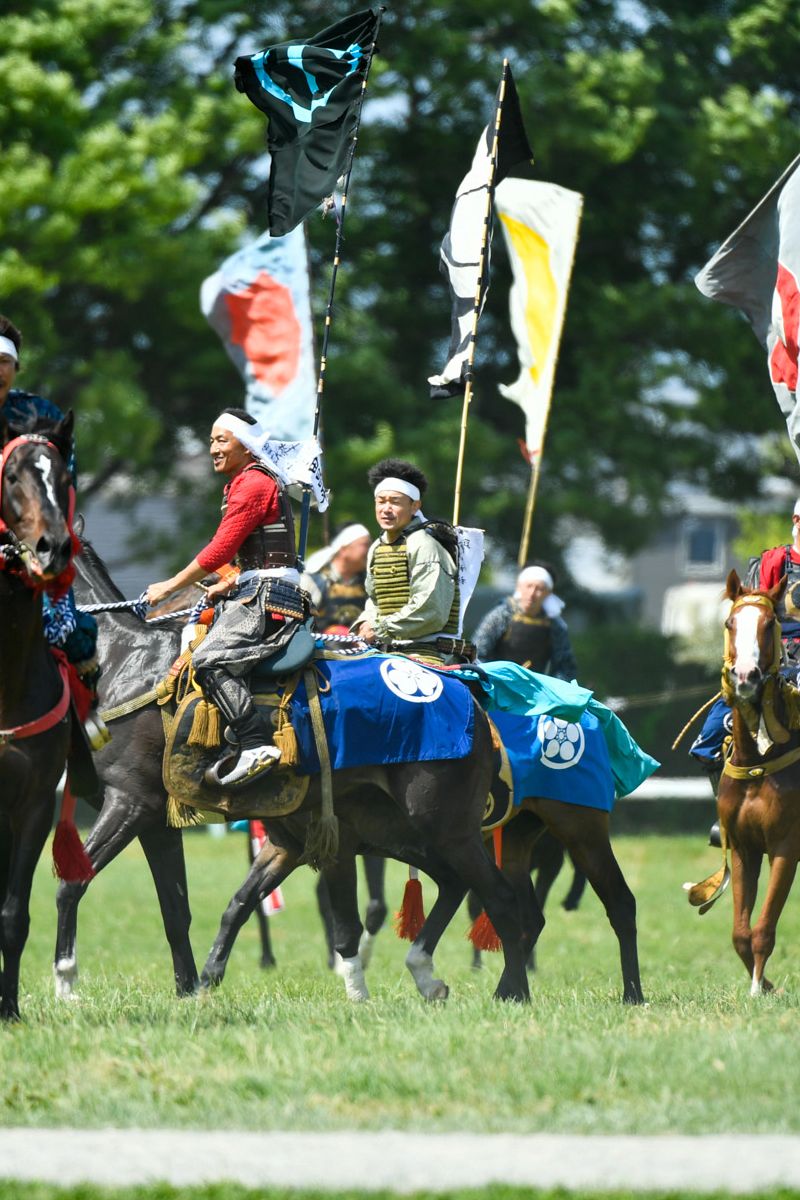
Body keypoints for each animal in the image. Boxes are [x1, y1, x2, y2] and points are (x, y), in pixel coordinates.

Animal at [56, 542, 532, 1003]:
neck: (123, 663)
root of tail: (471, 699)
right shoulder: (169, 823)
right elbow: (187, 909)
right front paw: (192, 987)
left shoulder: (131, 803)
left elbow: (72, 883)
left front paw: (65, 981)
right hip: (401, 833)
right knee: (454, 883)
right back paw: (431, 974)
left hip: (446, 828)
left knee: (502, 898)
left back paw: (511, 990)